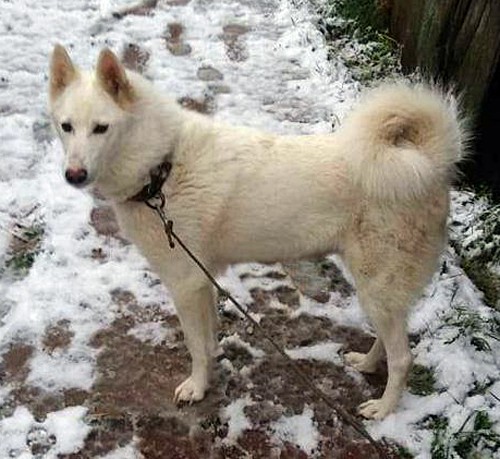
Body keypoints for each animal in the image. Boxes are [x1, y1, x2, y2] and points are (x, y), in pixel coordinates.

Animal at [48, 45, 464, 419]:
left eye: (101, 128)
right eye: (67, 127)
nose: (73, 175)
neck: (161, 166)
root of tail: (428, 164)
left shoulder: (184, 284)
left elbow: (195, 345)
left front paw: (197, 387)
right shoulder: (202, 280)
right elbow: (208, 339)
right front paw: (212, 366)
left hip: (377, 285)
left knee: (404, 357)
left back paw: (383, 408)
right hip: (380, 291)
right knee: (389, 340)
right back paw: (366, 363)